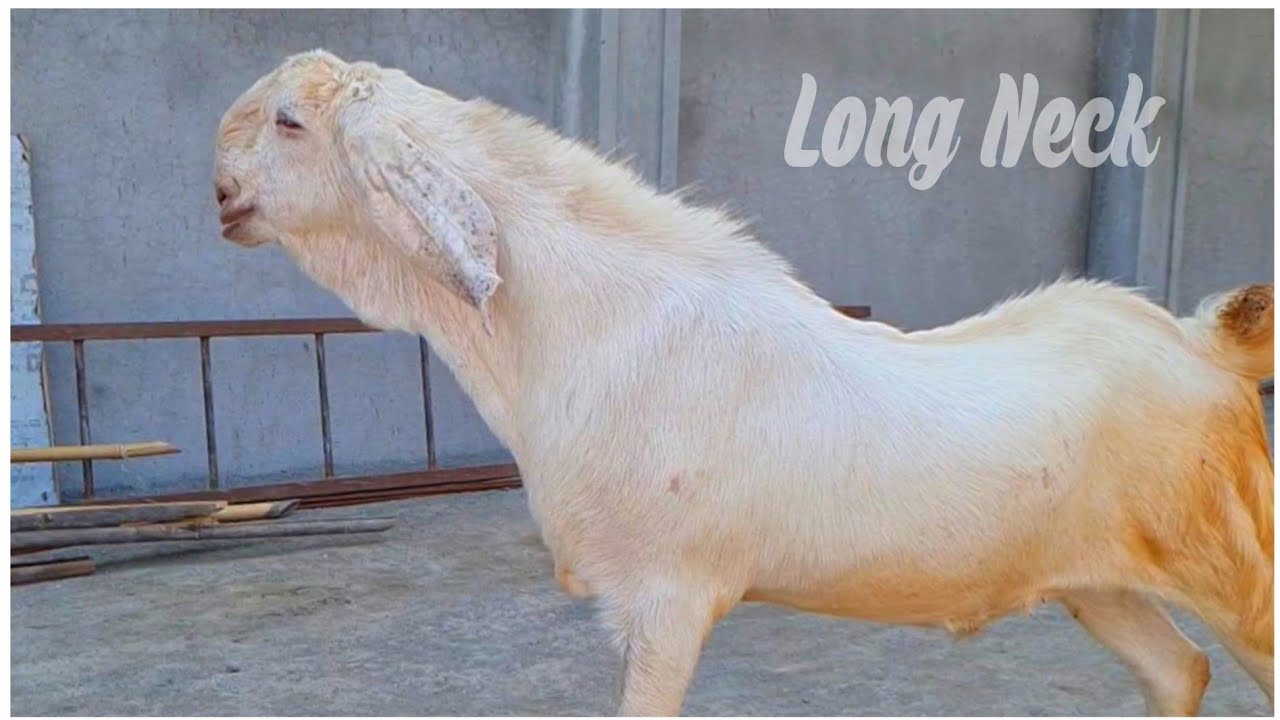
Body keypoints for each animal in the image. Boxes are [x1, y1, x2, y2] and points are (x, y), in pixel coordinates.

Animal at [214, 50, 1273, 715]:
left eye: (291, 120)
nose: (218, 191)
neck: (581, 327)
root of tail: (1203, 344)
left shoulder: (668, 598)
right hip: (1097, 583)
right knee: (1179, 672)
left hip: (1233, 563)